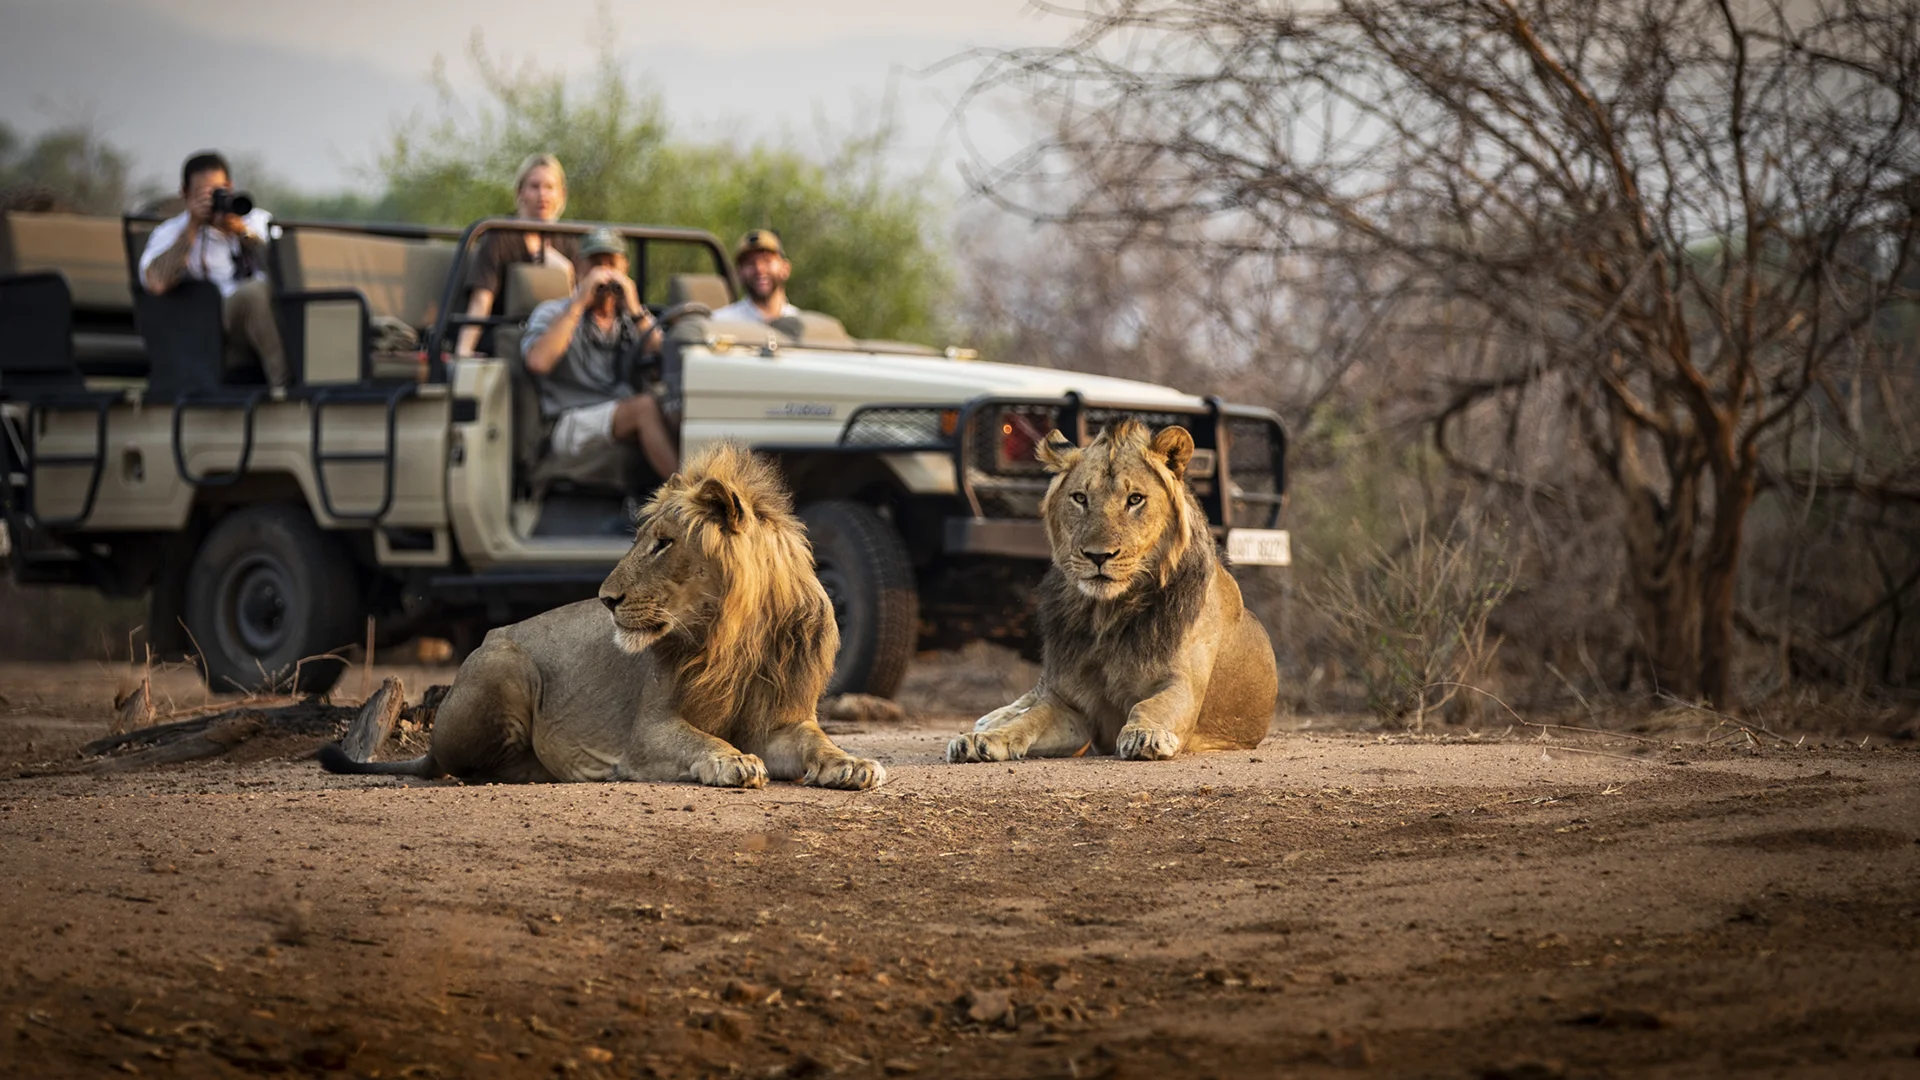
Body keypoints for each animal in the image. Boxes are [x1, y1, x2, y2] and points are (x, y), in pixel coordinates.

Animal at [319, 443, 885, 789]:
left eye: (663, 543)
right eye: (642, 540)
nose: (605, 599)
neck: (734, 637)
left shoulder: (784, 720)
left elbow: (818, 741)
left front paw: (853, 764)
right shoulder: (649, 729)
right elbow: (698, 739)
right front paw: (733, 759)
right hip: (508, 665)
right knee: (463, 766)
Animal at [948, 420, 1278, 763]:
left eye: (1135, 499)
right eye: (1080, 498)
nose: (1098, 555)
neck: (1108, 613)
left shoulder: (1182, 686)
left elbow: (1150, 706)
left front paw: (1146, 734)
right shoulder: (1070, 702)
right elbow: (1030, 719)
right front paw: (981, 739)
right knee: (1034, 695)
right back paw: (990, 720)